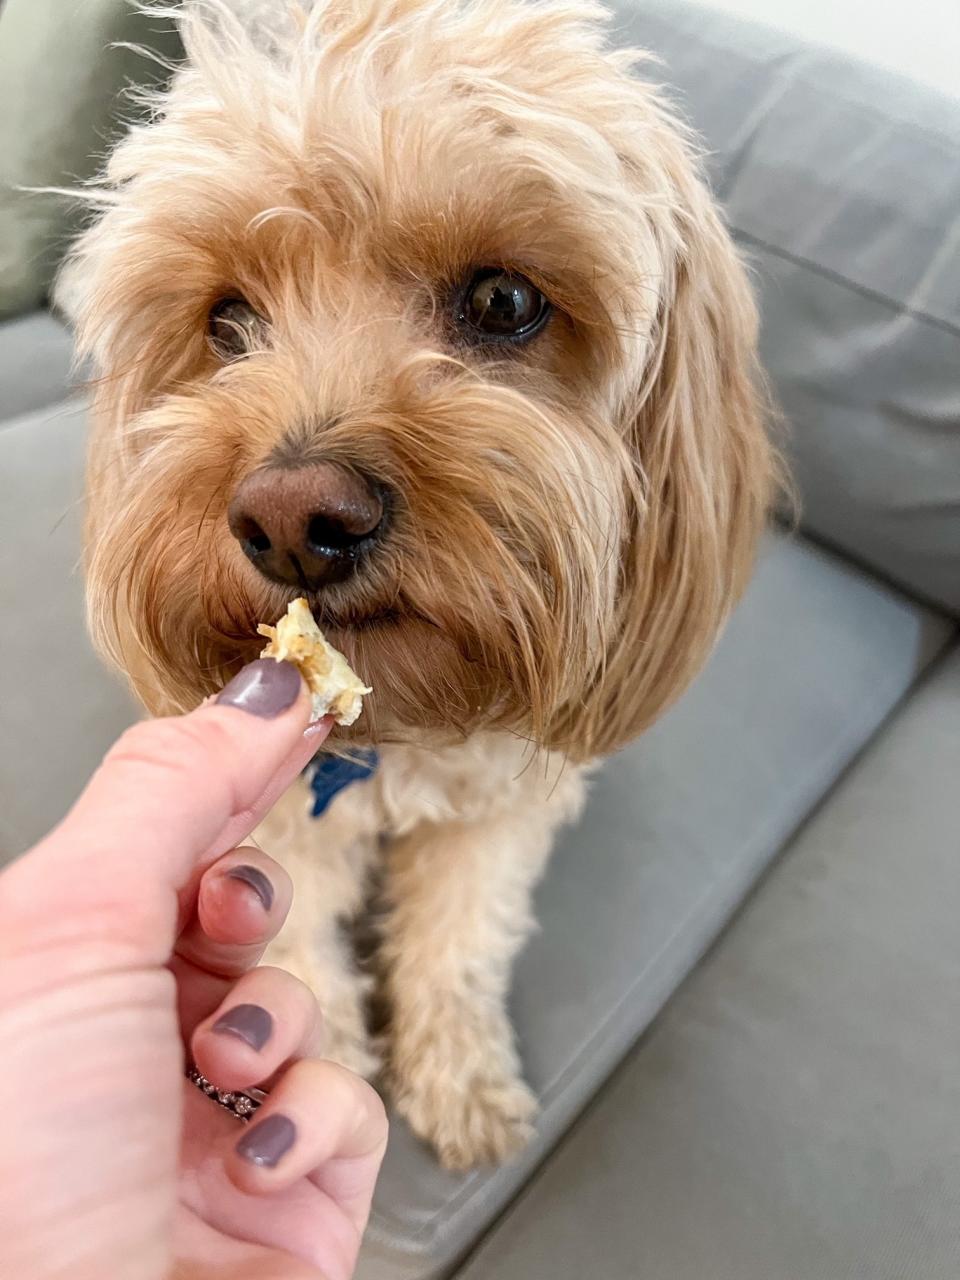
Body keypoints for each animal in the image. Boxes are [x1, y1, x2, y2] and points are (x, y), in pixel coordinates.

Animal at [60, 0, 778, 1172]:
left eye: (504, 298)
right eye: (226, 323)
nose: (294, 520)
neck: (400, 720)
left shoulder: (502, 807)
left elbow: (460, 933)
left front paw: (461, 1074)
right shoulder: (283, 814)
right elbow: (298, 934)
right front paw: (322, 1068)